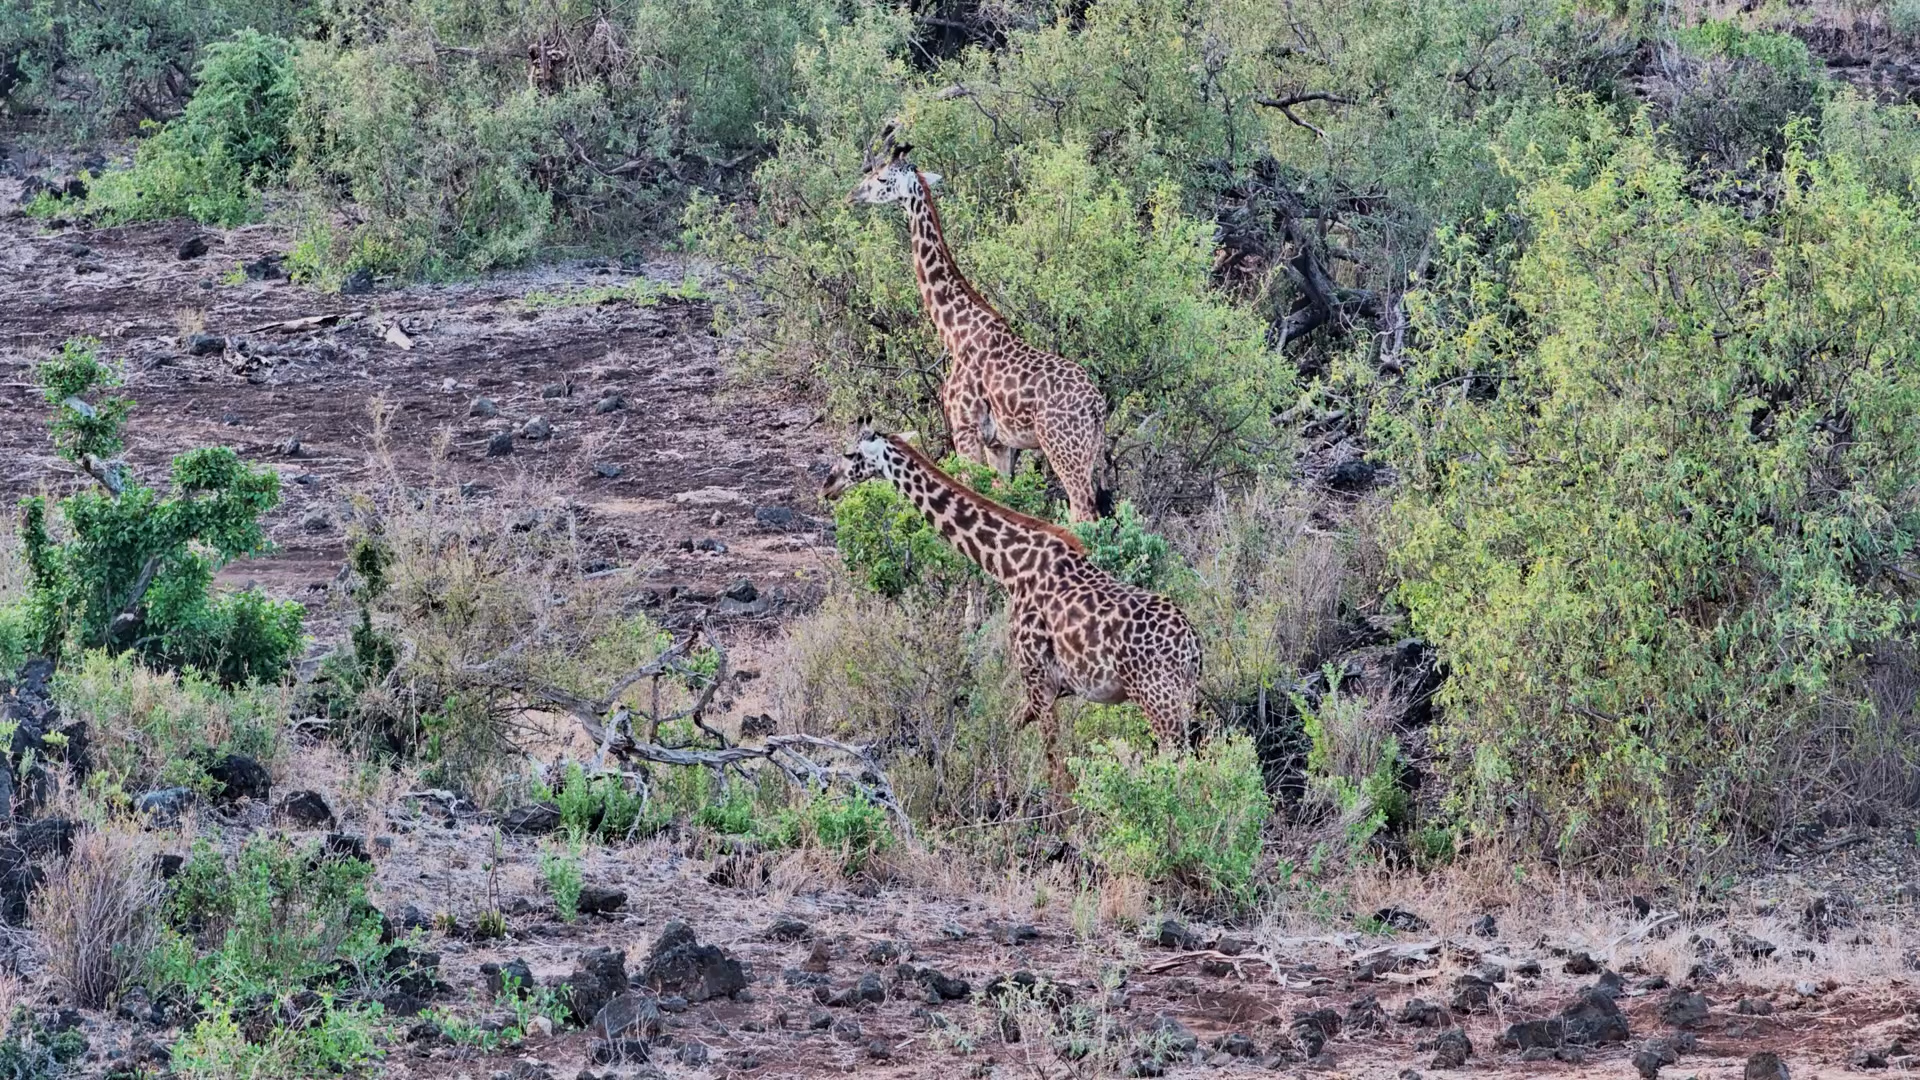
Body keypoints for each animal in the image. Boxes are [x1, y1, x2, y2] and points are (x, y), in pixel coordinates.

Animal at [822, 427, 1202, 791]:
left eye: (850, 454)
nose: (828, 485)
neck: (1009, 566)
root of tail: (1191, 646)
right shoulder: (1050, 687)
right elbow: (1002, 733)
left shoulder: (1036, 676)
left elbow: (1056, 771)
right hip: (1183, 700)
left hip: (1158, 702)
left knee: (1183, 773)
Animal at [849, 129, 1112, 523]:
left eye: (881, 178)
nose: (853, 194)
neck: (955, 330)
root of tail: (1096, 406)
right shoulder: (998, 442)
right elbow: (1002, 499)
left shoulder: (965, 428)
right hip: (1090, 451)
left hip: (1064, 450)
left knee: (1084, 515)